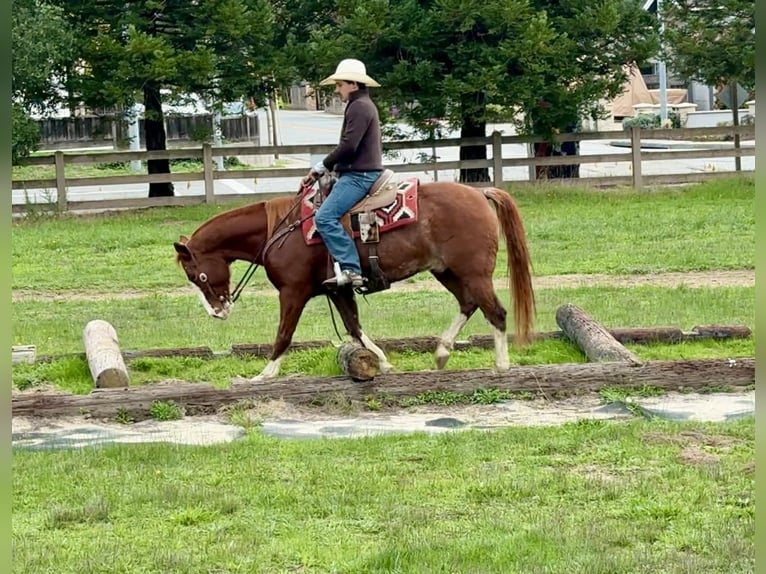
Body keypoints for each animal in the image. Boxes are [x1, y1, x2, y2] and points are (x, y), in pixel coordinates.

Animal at [174, 173, 536, 381]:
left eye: (197, 275)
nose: (217, 311)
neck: (280, 231)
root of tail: (480, 194)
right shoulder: (337, 291)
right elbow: (354, 328)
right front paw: (384, 363)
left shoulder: (292, 292)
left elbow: (284, 334)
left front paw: (265, 373)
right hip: (446, 271)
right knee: (469, 304)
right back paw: (443, 352)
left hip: (473, 272)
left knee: (495, 312)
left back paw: (501, 365)